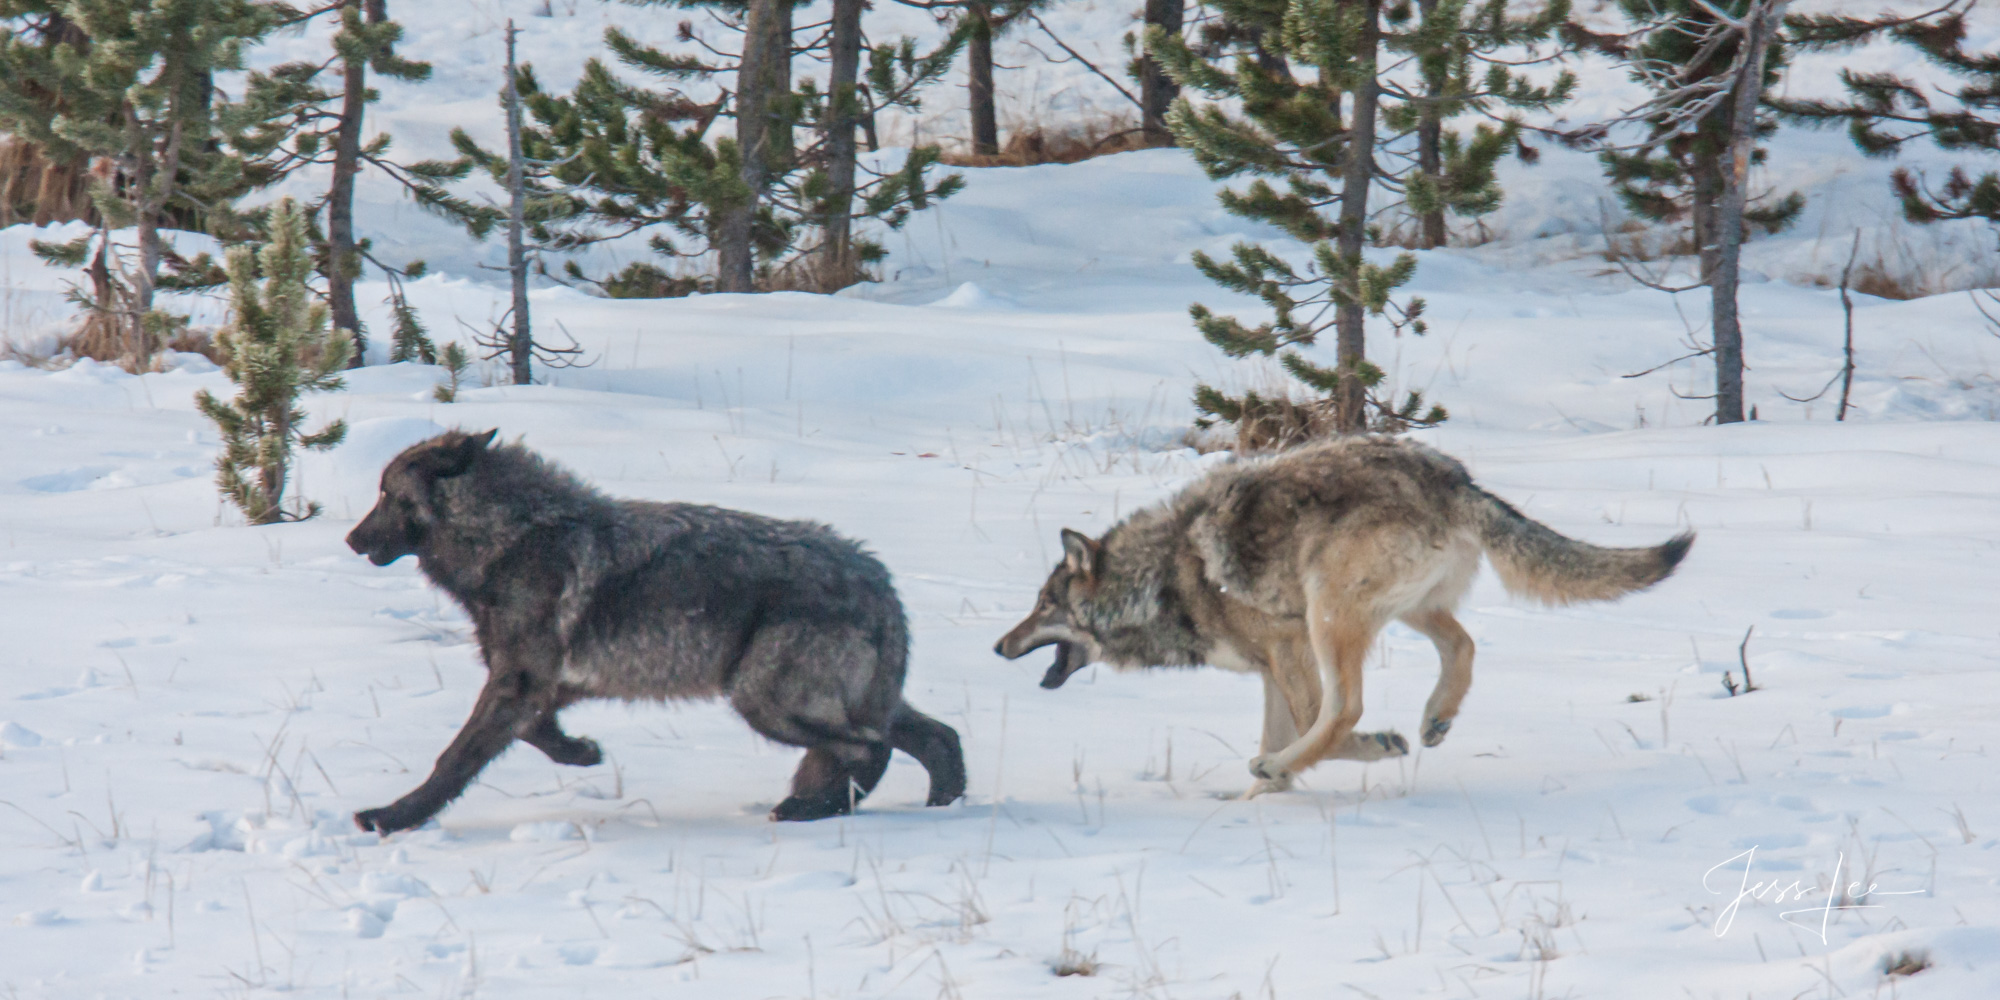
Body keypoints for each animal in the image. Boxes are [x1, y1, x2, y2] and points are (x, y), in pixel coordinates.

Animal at [346, 430, 968, 828]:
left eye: (385, 494)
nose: (351, 540)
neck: (510, 536)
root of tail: (877, 578)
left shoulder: (517, 684)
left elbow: (454, 759)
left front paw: (392, 817)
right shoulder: (543, 686)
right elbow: (538, 735)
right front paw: (582, 753)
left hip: (763, 702)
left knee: (871, 748)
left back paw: (812, 809)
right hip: (839, 702)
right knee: (938, 737)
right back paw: (944, 806)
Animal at [996, 434, 1688, 792]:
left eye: (1042, 604)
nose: (998, 647)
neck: (1161, 578)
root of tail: (1454, 480)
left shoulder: (1288, 648)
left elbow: (1311, 726)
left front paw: (1296, 769)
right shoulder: (1272, 667)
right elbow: (1281, 731)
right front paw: (1257, 803)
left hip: (1330, 612)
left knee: (1346, 707)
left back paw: (1366, 741)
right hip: (1402, 610)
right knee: (1462, 646)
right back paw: (1435, 719)